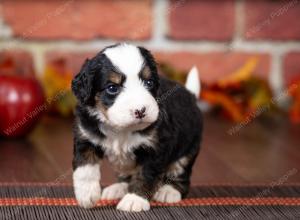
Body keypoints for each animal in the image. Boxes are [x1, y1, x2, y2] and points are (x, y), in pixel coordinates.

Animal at [71, 42, 203, 211]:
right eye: (112, 88)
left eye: (149, 83)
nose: (140, 111)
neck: (121, 129)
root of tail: (191, 95)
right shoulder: (86, 137)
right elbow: (85, 169)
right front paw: (86, 194)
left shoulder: (155, 148)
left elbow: (145, 175)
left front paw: (135, 199)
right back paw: (118, 189)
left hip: (187, 149)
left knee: (180, 172)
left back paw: (169, 191)